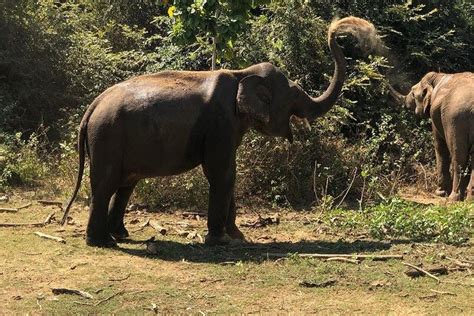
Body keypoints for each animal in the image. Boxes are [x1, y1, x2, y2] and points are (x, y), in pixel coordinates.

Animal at [59, 16, 380, 247]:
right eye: (294, 96)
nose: (341, 30)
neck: (242, 73)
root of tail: (92, 106)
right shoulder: (220, 123)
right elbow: (220, 172)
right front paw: (219, 241)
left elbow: (230, 173)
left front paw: (237, 237)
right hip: (106, 137)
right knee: (106, 183)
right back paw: (102, 242)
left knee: (126, 183)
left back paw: (121, 235)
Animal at [388, 72, 474, 201]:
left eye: (413, 93)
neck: (439, 76)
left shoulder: (436, 114)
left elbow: (440, 146)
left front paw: (440, 193)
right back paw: (470, 199)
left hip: (456, 120)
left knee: (458, 156)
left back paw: (453, 198)